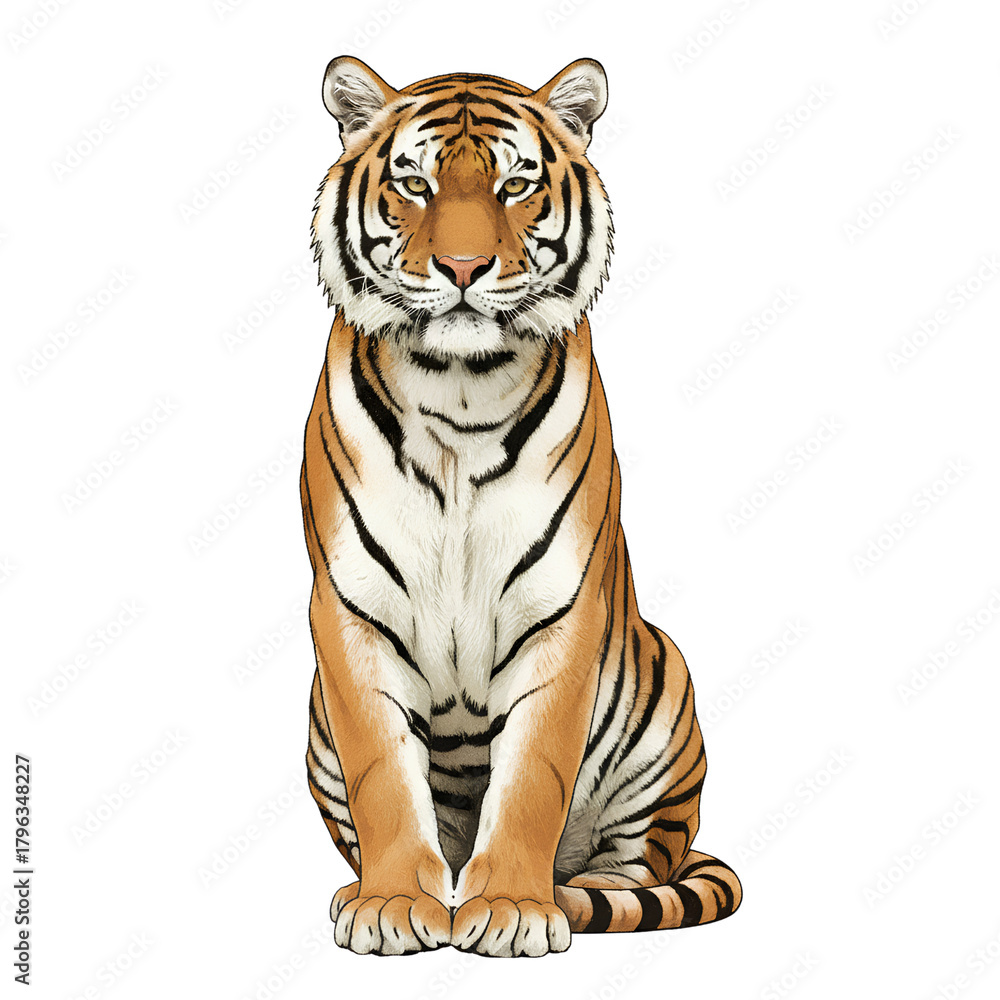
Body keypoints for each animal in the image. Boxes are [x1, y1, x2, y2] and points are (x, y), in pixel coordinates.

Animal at [300, 55, 742, 958]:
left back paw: (574, 894)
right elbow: (382, 772)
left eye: (515, 185)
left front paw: (511, 908)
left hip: (662, 700)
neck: (457, 393)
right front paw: (391, 904)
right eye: (415, 182)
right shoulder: (352, 610)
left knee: (638, 868)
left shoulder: (562, 610)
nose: (465, 269)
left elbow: (534, 771)